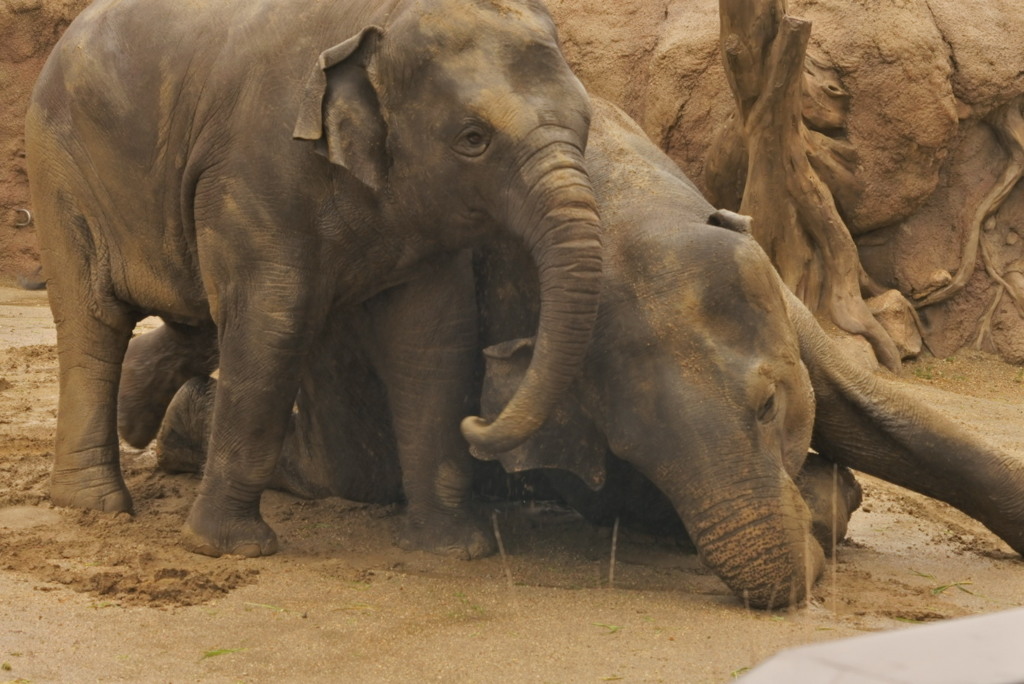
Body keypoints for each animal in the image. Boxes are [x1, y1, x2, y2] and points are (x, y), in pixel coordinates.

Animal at [24, 0, 602, 557]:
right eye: (473, 138)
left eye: (586, 126)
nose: (478, 425)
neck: (382, 20)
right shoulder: (259, 166)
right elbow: (272, 324)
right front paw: (230, 549)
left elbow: (436, 339)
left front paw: (455, 548)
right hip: (61, 170)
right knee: (95, 321)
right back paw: (95, 505)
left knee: (197, 312)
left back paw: (135, 418)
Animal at [121, 97, 1024, 610]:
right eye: (632, 453)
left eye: (770, 404)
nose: (806, 497)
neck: (606, 208)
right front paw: (831, 494)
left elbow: (881, 408)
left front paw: (840, 482)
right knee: (343, 461)